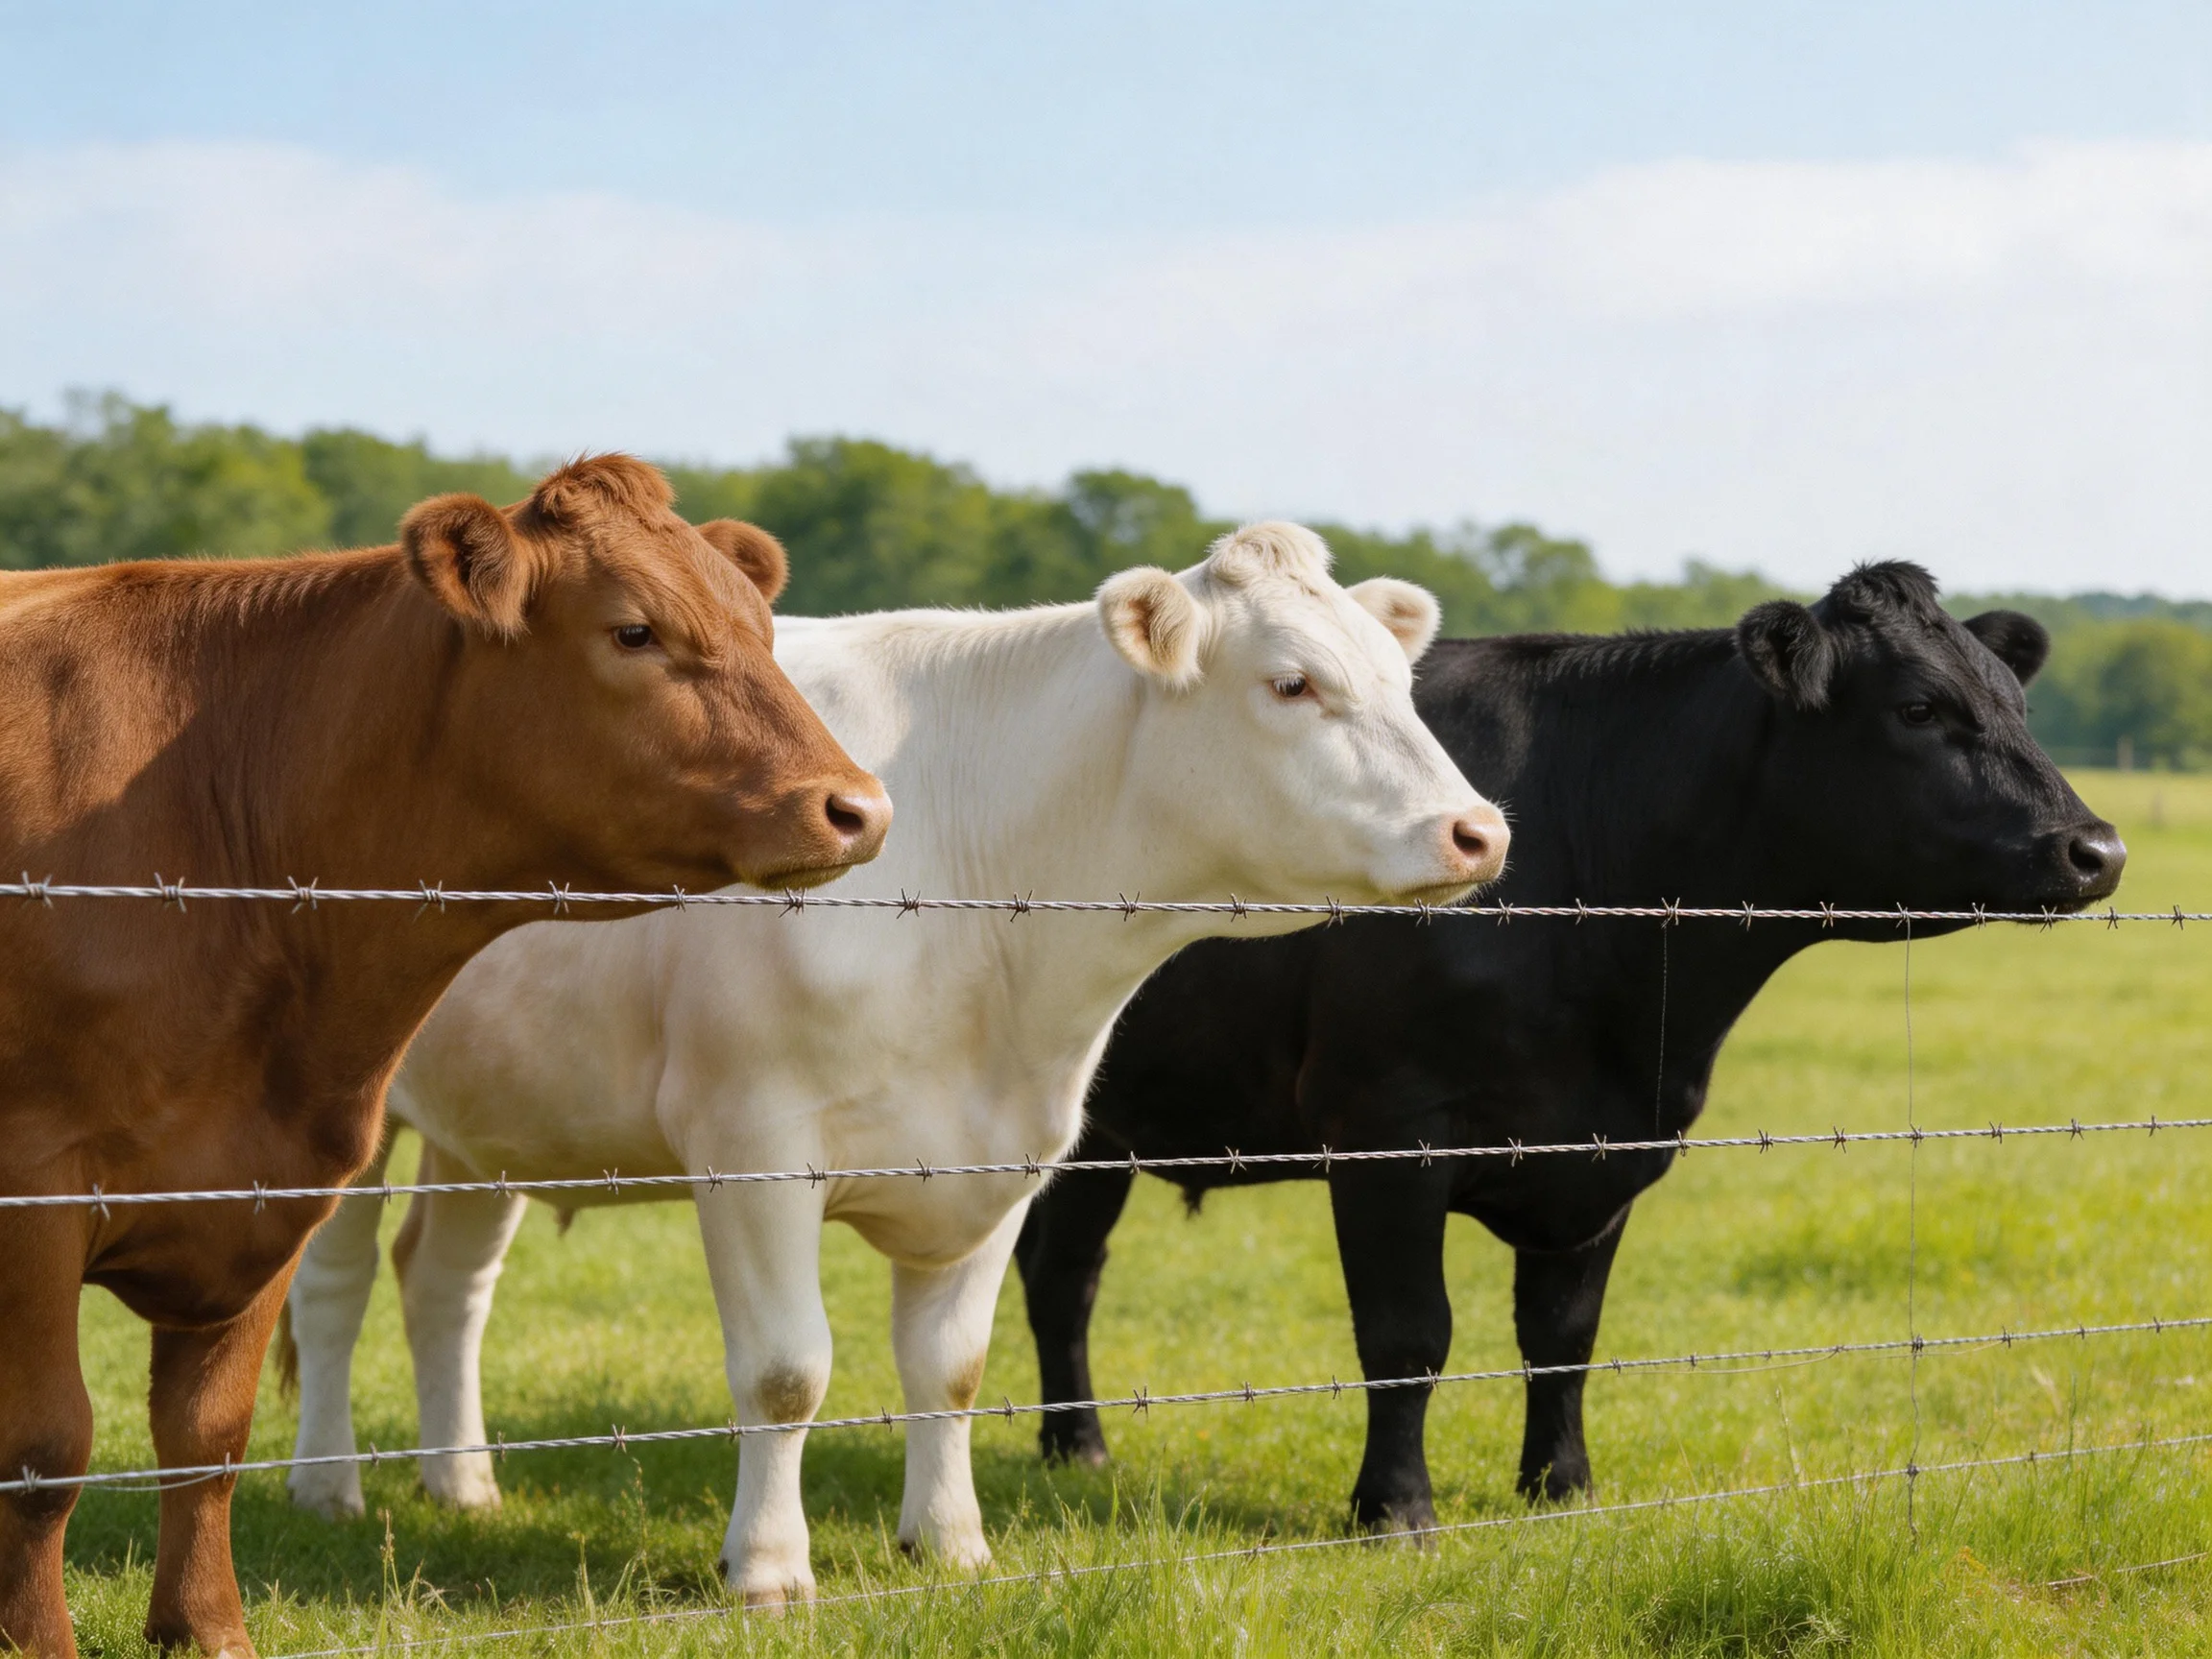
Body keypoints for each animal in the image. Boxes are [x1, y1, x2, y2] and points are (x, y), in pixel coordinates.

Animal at [0, 457, 888, 1659]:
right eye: (634, 630)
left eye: (760, 627)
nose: (859, 807)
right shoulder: (35, 1187)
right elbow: (47, 1449)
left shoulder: (265, 1179)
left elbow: (207, 1437)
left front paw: (207, 1628)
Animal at [280, 522, 1508, 1606]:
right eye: (1292, 683)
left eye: (1398, 682)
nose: (1480, 831)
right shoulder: (753, 1147)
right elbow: (785, 1372)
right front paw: (769, 1570)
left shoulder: (1001, 1156)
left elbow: (951, 1366)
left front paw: (951, 1544)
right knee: (334, 1289)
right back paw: (327, 1487)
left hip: (493, 1111)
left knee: (446, 1282)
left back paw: (462, 1485)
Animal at [1014, 561, 2126, 1534]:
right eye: (1918, 710)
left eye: (2015, 705)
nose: (2097, 849)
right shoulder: (1388, 1127)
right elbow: (1408, 1334)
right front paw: (1395, 1509)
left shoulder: (1609, 1145)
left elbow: (1563, 1334)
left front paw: (1562, 1487)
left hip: (1097, 1128)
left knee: (1063, 1271)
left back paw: (1079, 1450)